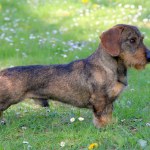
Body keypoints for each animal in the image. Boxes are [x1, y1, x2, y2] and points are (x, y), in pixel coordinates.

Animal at [0, 24, 150, 127]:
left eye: (142, 39)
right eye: (132, 40)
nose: (149, 57)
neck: (109, 67)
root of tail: (3, 72)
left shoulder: (109, 102)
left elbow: (108, 116)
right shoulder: (100, 100)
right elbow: (101, 118)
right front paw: (104, 129)